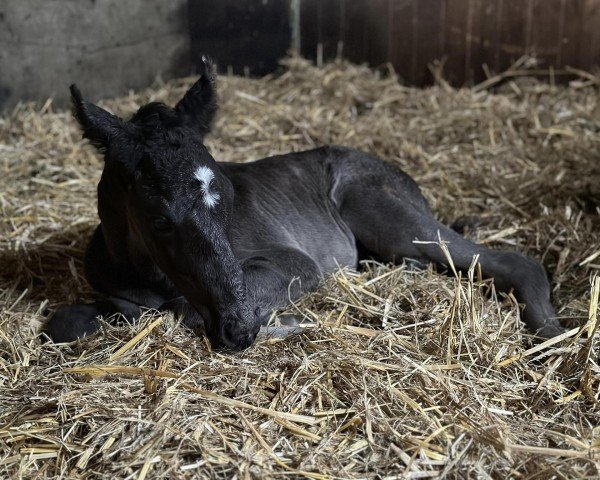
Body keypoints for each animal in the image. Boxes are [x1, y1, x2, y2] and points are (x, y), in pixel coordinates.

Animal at [45, 58, 564, 348]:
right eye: (160, 221)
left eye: (228, 199)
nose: (237, 331)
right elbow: (67, 321)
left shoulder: (294, 262)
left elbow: (187, 311)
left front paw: (287, 322)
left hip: (388, 217)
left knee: (513, 263)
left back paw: (550, 334)